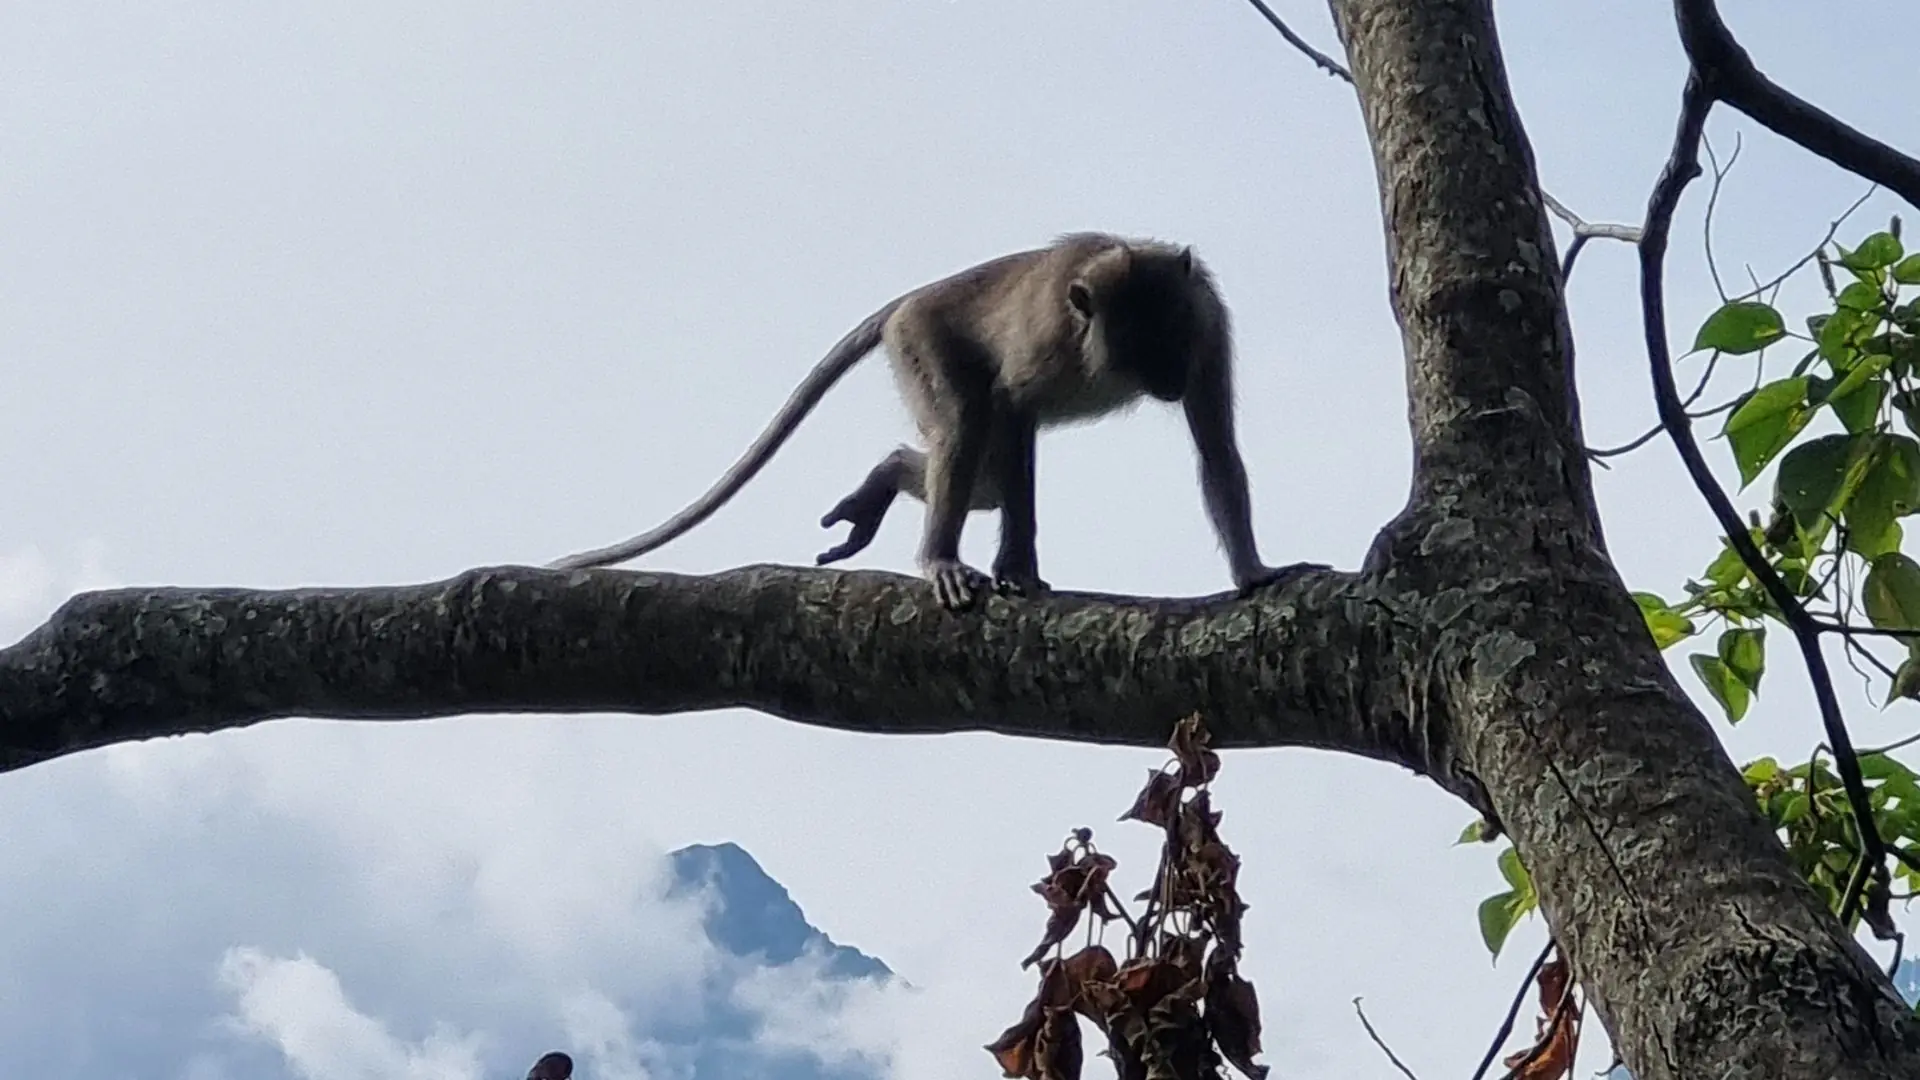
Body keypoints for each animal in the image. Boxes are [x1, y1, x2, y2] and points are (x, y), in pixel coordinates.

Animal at [550, 232, 1321, 609]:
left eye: (1170, 336)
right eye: (1139, 343)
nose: (1164, 377)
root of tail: (908, 299)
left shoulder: (1208, 327)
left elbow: (1216, 446)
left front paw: (1254, 572)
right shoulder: (1049, 345)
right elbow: (1012, 405)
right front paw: (1018, 568)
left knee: (981, 470)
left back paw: (885, 479)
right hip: (919, 339)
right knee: (971, 427)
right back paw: (936, 553)